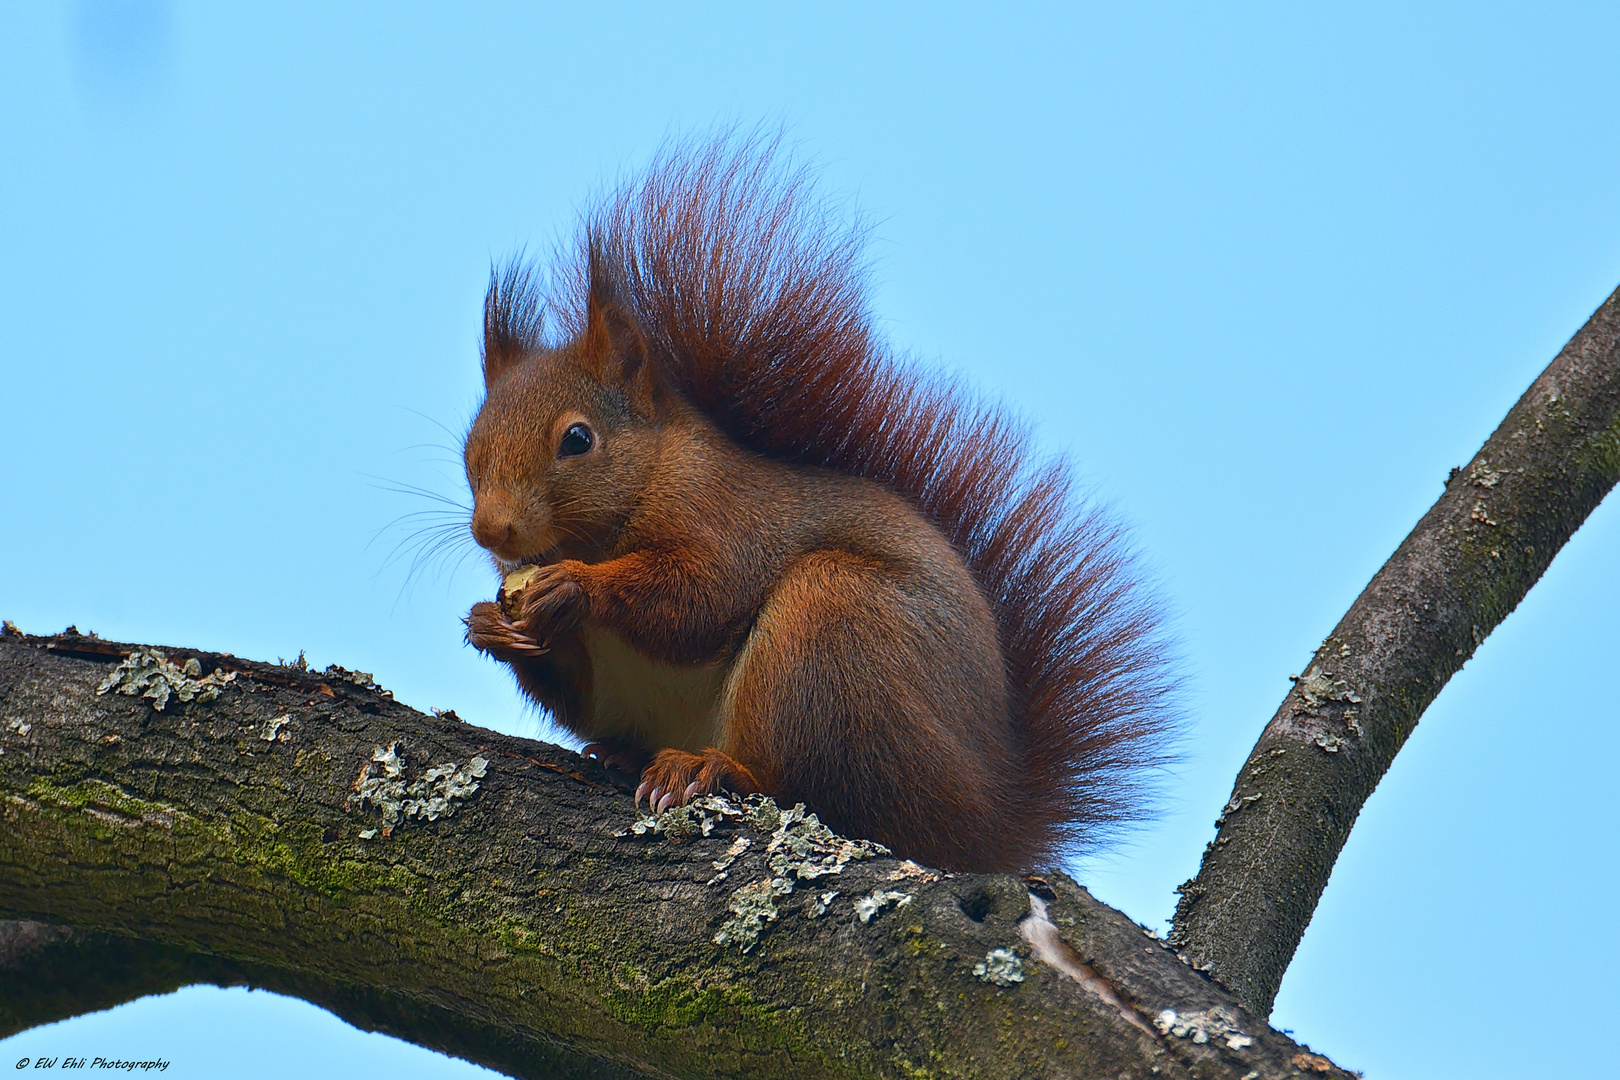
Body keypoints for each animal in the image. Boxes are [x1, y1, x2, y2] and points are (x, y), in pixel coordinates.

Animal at [463, 143, 1172, 874]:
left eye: (578, 440)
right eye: (472, 445)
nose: (492, 529)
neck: (636, 494)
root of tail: (987, 817)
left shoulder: (728, 516)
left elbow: (699, 599)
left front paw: (574, 587)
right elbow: (571, 691)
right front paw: (490, 625)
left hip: (835, 632)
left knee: (805, 784)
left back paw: (709, 768)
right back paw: (628, 753)